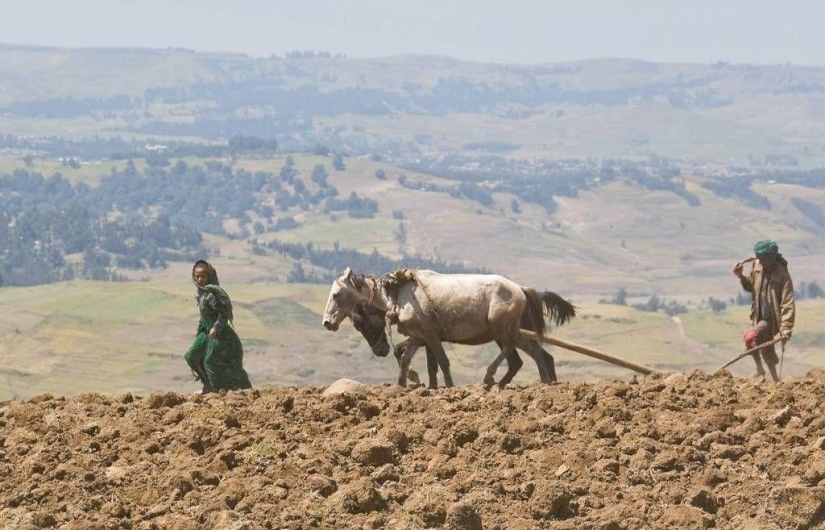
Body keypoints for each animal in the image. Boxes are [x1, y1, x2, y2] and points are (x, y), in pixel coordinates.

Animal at [318, 266, 576, 386]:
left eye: (337, 294)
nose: (327, 323)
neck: (399, 294)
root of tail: (521, 289)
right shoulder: (418, 336)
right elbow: (406, 358)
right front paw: (403, 385)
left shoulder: (431, 336)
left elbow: (441, 362)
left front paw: (448, 386)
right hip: (505, 331)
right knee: (526, 354)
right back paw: (536, 381)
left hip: (501, 328)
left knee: (518, 350)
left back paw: (491, 377)